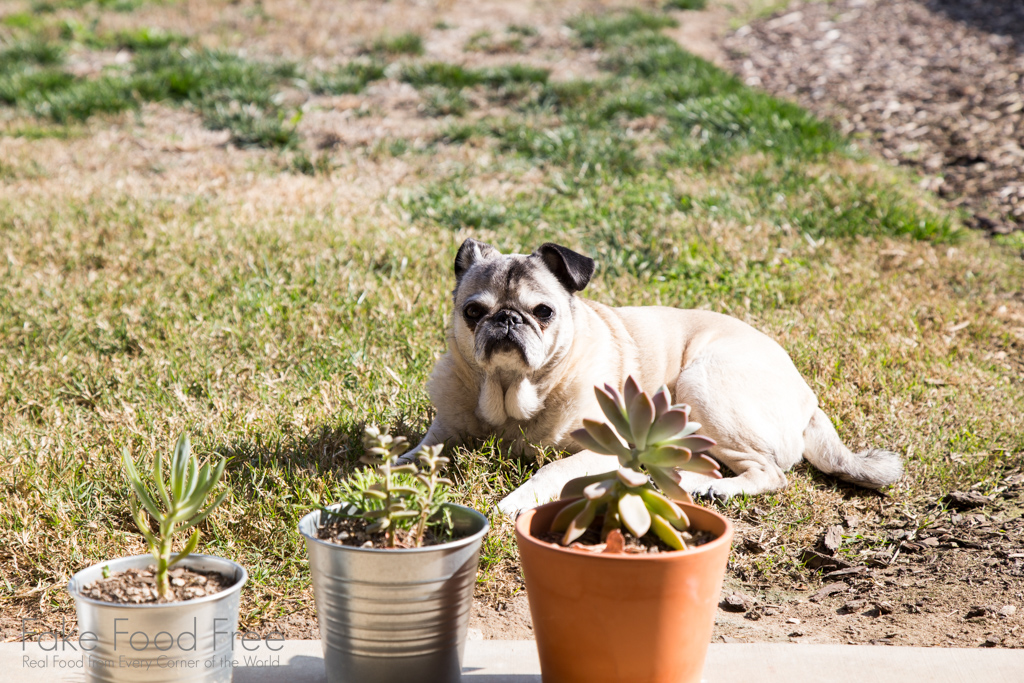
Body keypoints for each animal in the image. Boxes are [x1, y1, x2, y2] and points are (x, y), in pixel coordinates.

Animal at [407, 237, 905, 516]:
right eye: (473, 312)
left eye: (543, 312)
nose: (507, 320)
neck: (513, 392)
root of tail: (808, 398)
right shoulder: (442, 436)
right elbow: (414, 456)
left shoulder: (601, 452)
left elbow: (552, 469)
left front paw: (516, 501)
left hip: (702, 386)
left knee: (769, 471)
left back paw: (714, 488)